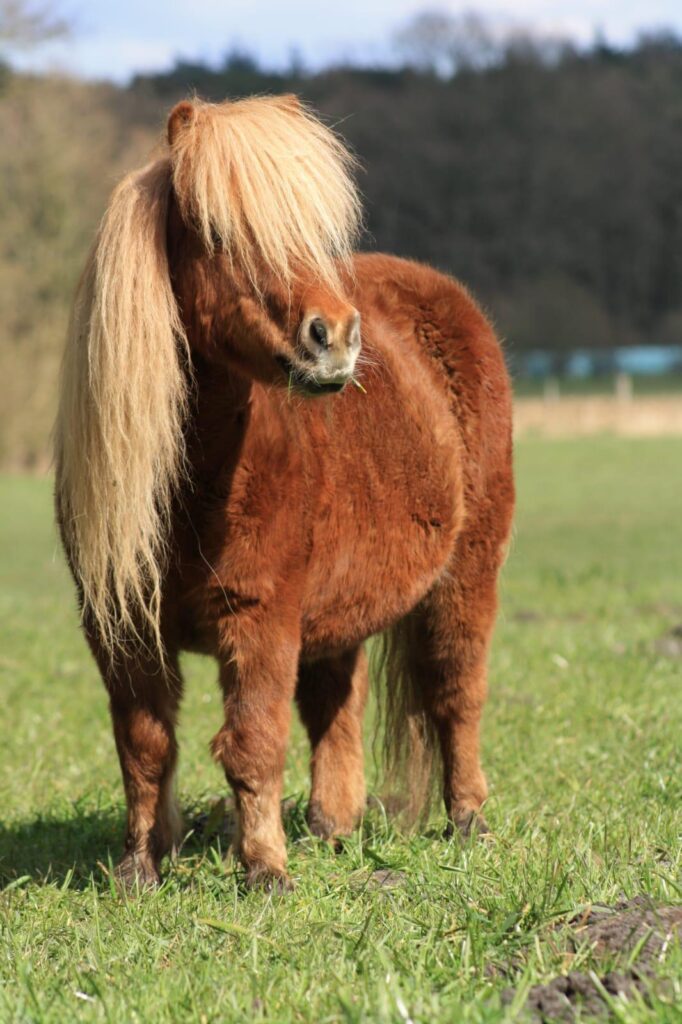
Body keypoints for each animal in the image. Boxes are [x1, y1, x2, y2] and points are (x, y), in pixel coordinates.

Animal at [55, 94, 514, 891]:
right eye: (218, 232)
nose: (335, 338)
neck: (192, 486)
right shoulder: (121, 629)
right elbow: (144, 746)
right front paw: (140, 867)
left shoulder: (261, 615)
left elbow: (254, 742)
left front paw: (264, 870)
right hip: (343, 603)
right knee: (338, 702)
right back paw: (333, 827)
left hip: (466, 577)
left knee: (457, 694)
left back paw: (468, 824)